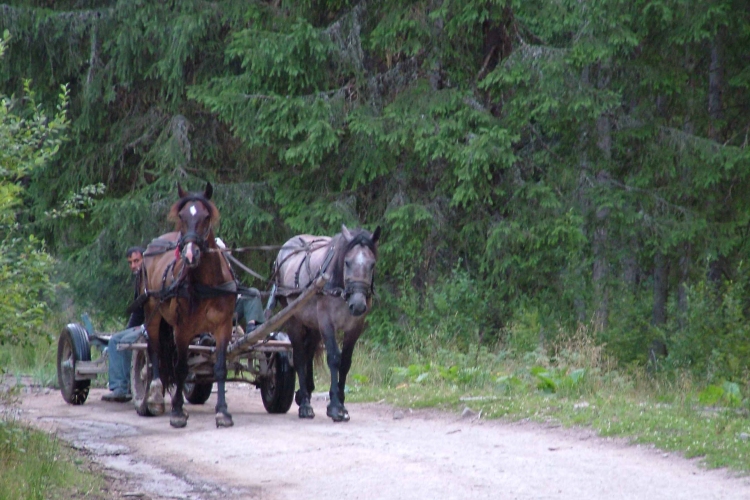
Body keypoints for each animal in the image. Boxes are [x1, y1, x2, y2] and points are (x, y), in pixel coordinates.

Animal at [140, 182, 236, 428]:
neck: (206, 284)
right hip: (152, 312)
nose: (190, 254)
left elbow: (220, 368)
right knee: (154, 350)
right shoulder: (182, 329)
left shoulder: (223, 327)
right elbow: (181, 368)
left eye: (206, 216)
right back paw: (155, 396)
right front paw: (177, 411)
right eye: (182, 216)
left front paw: (223, 412)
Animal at [274, 225, 382, 420]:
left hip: (313, 324)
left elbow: (345, 362)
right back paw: (305, 405)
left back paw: (305, 393)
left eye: (372, 264)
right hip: (293, 318)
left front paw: (341, 403)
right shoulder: (327, 323)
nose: (358, 304)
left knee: (308, 353)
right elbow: (333, 358)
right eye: (347, 262)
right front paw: (335, 406)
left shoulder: (354, 327)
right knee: (299, 356)